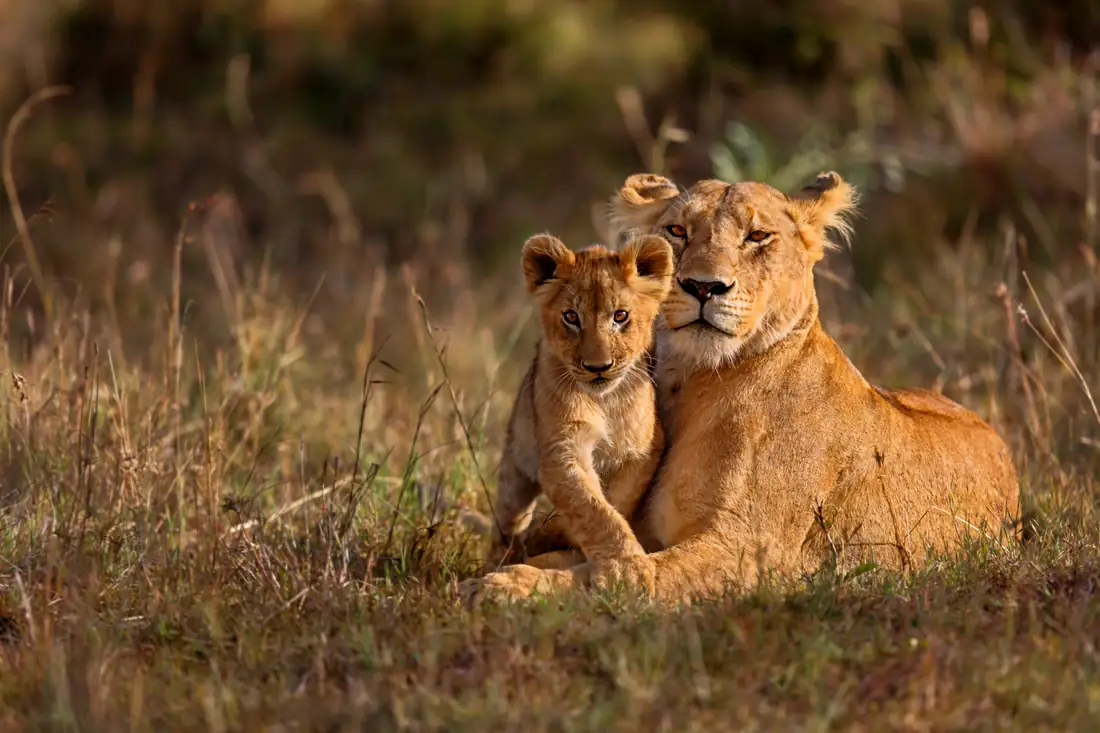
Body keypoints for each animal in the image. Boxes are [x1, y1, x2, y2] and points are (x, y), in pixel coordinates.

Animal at [476, 232, 674, 580]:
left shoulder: (644, 449)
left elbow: (616, 502)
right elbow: (593, 509)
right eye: (571, 317)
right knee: (509, 521)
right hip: (515, 466)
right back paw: (500, 557)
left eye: (620, 316)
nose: (598, 367)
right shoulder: (561, 450)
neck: (604, 400)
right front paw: (627, 569)